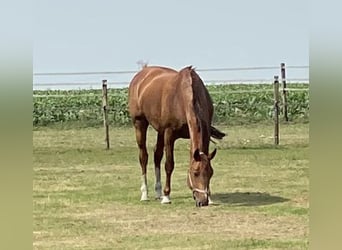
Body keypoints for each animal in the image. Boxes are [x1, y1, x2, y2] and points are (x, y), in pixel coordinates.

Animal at [127, 65, 224, 207]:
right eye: (195, 173)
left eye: (211, 173)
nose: (202, 201)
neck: (182, 97)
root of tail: (142, 73)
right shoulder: (169, 134)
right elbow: (169, 165)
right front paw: (167, 196)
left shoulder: (204, 133)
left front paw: (210, 198)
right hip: (140, 123)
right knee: (143, 156)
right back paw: (145, 194)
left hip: (160, 130)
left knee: (157, 155)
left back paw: (158, 192)